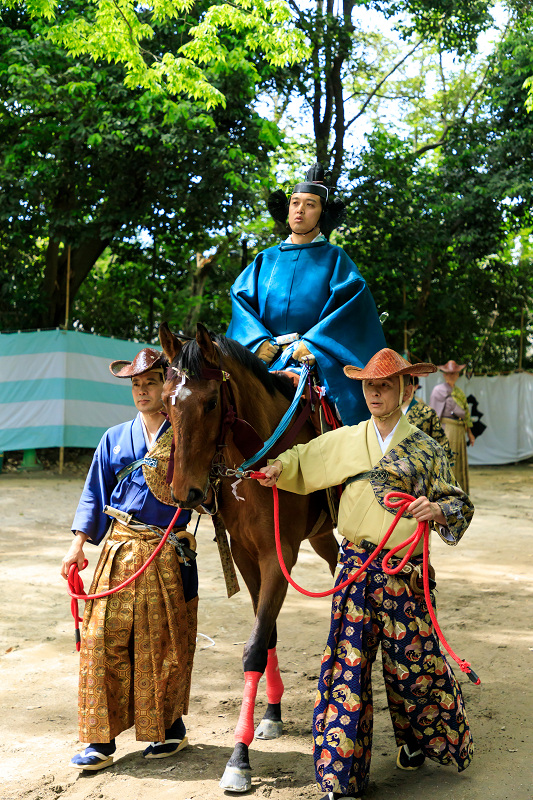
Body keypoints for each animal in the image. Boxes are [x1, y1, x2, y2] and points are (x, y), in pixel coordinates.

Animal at [158, 322, 336, 792]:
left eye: (212, 402)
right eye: (166, 400)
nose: (186, 492)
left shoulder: (279, 556)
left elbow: (254, 646)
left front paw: (239, 758)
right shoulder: (244, 554)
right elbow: (266, 632)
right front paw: (271, 714)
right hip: (322, 536)